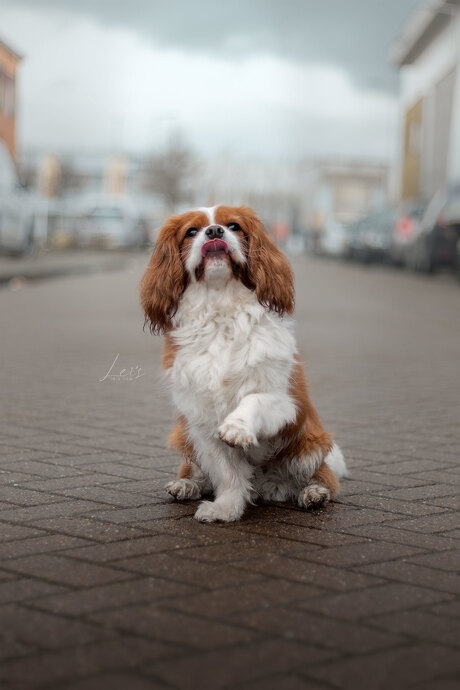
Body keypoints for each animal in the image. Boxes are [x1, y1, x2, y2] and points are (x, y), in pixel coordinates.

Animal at [138, 204, 346, 520]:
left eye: (234, 226)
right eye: (191, 231)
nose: (214, 231)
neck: (220, 306)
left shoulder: (285, 402)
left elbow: (253, 400)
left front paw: (236, 428)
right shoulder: (200, 421)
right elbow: (228, 473)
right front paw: (226, 508)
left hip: (311, 445)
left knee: (326, 476)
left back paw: (314, 493)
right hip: (184, 436)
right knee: (197, 470)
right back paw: (186, 485)